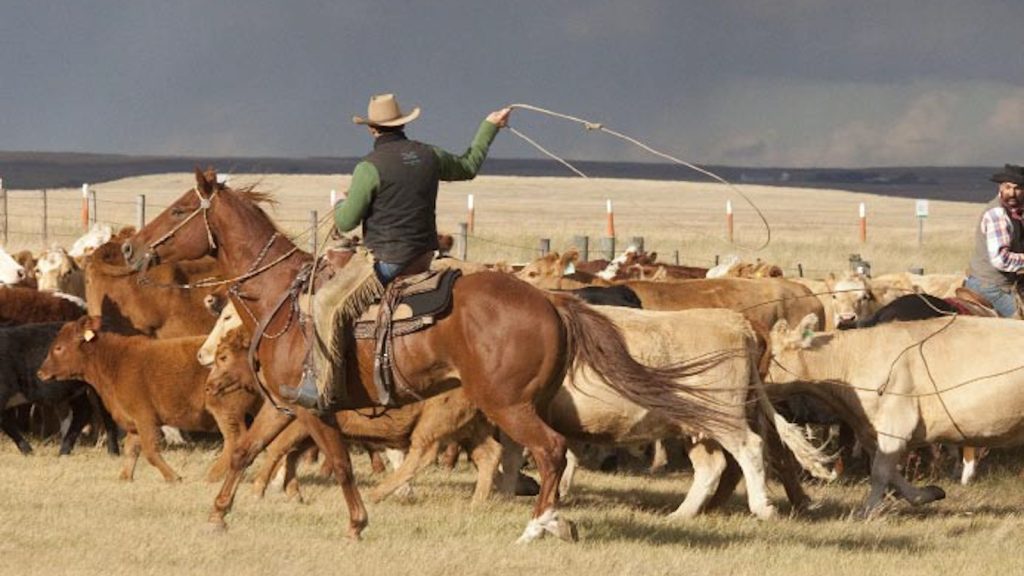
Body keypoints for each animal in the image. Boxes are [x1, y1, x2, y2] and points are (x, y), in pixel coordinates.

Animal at [0, 323, 117, 453]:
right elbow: (7, 423)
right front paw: (28, 450)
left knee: (106, 414)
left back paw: (113, 452)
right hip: (75, 390)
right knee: (83, 411)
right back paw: (64, 451)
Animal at [38, 315, 264, 481]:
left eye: (58, 348)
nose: (40, 373)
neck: (115, 361)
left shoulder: (145, 417)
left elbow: (150, 451)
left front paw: (173, 477)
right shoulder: (134, 422)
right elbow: (131, 449)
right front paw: (125, 477)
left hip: (225, 409)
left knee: (235, 439)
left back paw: (213, 475)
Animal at [123, 167, 737, 541]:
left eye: (179, 209)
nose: (130, 248)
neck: (282, 298)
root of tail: (550, 300)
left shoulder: (314, 410)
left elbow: (339, 462)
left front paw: (357, 523)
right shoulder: (285, 406)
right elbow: (246, 452)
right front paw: (218, 515)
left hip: (506, 403)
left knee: (551, 451)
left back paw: (537, 527)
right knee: (548, 457)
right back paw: (554, 520)